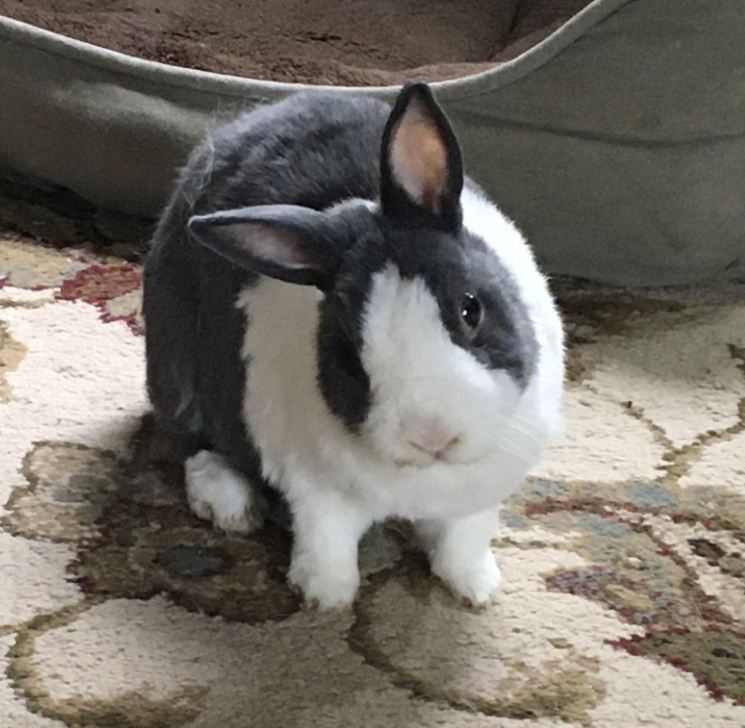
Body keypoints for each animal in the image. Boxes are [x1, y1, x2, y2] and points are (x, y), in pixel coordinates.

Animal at [142, 81, 565, 610]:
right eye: (347, 348)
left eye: (472, 309)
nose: (433, 436)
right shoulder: (317, 491)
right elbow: (329, 545)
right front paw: (325, 600)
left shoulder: (479, 497)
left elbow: (461, 542)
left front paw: (475, 590)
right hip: (175, 365)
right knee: (192, 444)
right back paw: (231, 505)